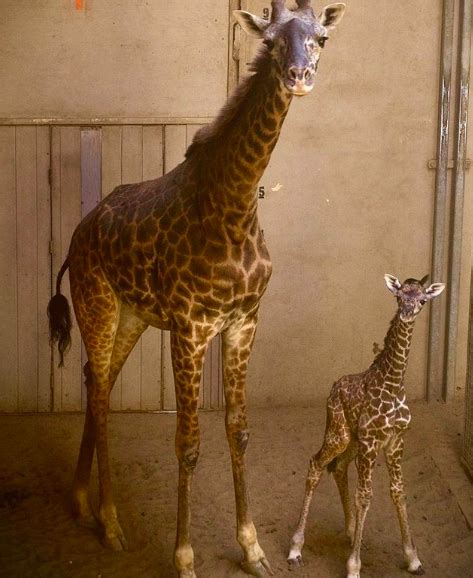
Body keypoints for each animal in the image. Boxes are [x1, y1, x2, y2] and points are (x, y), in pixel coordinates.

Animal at [47, 2, 342, 572]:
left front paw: (252, 548)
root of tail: (75, 238)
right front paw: (184, 556)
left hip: (131, 316)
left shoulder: (244, 322)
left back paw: (80, 501)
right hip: (97, 306)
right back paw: (110, 523)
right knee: (100, 395)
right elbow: (187, 442)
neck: (234, 207)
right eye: (270, 41)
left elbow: (238, 430)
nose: (299, 77)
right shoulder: (189, 328)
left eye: (320, 38)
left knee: (99, 383)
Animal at [286, 274, 444, 576]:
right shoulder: (371, 442)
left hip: (352, 442)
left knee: (338, 468)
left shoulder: (395, 441)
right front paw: (353, 566)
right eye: (399, 297)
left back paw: (350, 532)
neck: (393, 385)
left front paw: (413, 558)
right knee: (316, 464)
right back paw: (296, 548)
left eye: (422, 300)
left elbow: (398, 492)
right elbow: (365, 496)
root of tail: (333, 386)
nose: (407, 314)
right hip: (338, 434)